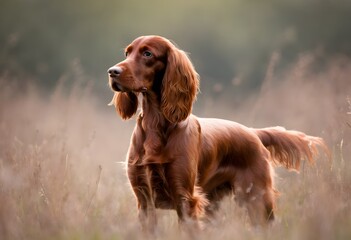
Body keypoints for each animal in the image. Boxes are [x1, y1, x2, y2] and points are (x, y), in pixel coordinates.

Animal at [106, 35, 328, 231]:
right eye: (127, 53)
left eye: (148, 54)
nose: (112, 71)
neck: (155, 125)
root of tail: (253, 132)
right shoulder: (145, 201)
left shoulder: (185, 199)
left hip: (257, 200)